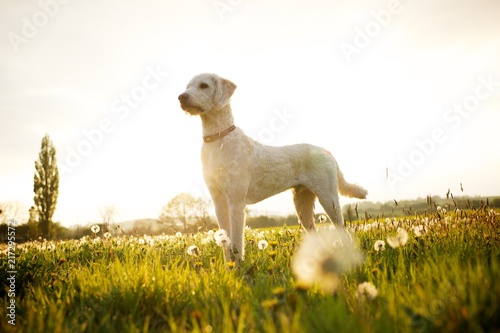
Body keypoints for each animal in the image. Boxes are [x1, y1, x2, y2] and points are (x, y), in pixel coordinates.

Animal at [178, 73, 366, 262]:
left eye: (204, 85)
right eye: (187, 86)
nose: (181, 97)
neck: (219, 138)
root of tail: (326, 152)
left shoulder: (236, 202)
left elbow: (237, 242)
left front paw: (238, 266)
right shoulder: (218, 202)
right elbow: (225, 241)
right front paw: (228, 265)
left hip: (328, 198)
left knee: (343, 232)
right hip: (303, 203)